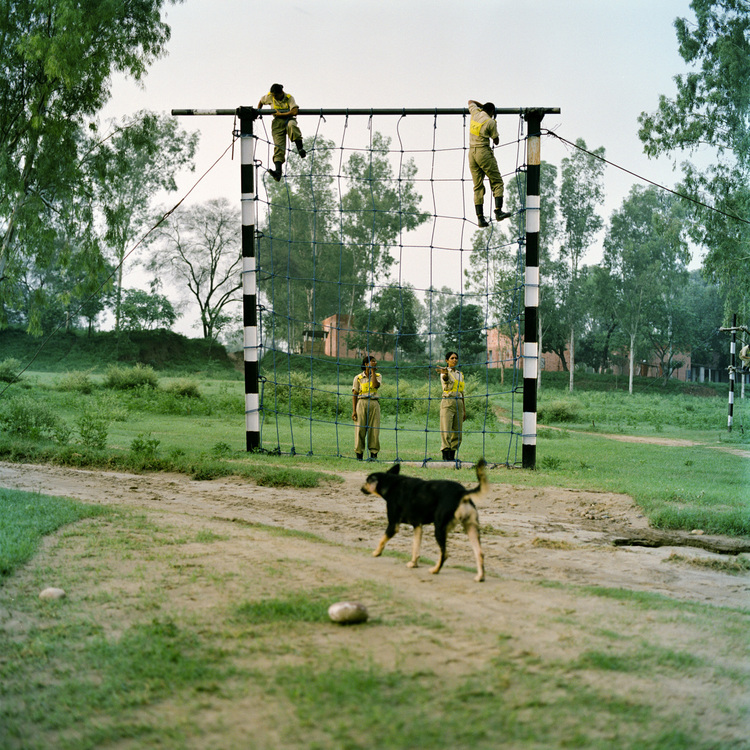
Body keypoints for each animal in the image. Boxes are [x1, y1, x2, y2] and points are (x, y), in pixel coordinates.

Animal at [362, 462, 490, 584]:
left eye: (367, 482)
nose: (361, 488)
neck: (391, 483)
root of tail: (462, 493)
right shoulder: (417, 526)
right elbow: (415, 547)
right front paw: (413, 563)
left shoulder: (393, 525)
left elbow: (382, 539)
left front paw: (376, 552)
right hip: (471, 528)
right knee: (479, 553)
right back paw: (480, 577)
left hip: (439, 529)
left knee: (444, 554)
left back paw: (435, 570)